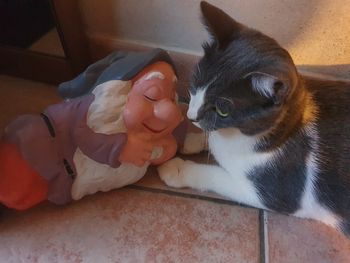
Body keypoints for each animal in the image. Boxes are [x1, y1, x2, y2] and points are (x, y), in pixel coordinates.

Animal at [158, 1, 350, 237]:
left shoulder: (274, 192)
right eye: (195, 82)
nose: (190, 116)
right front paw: (192, 140)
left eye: (222, 110)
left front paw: (178, 169)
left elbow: (216, 175)